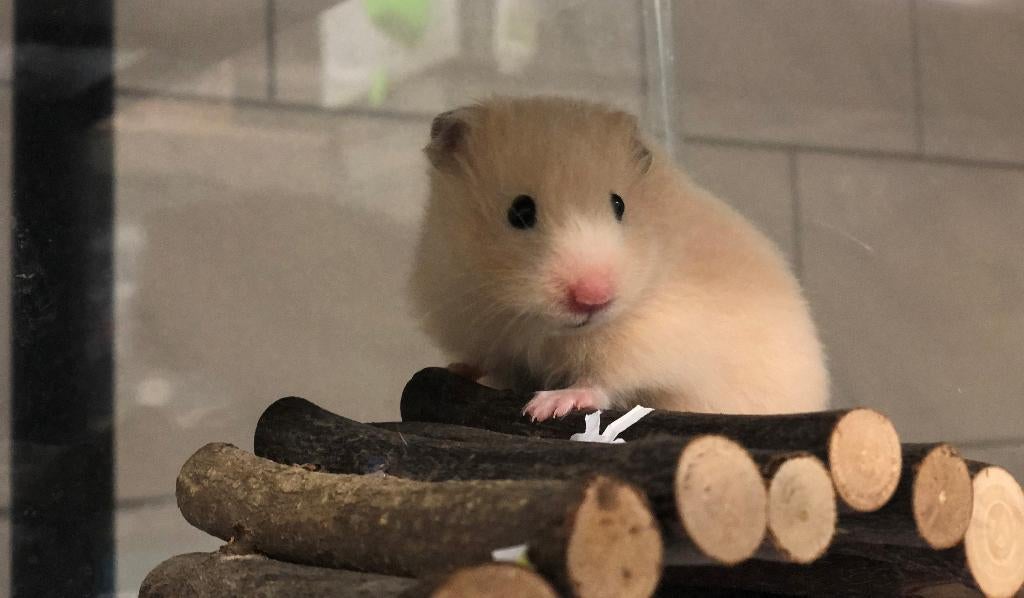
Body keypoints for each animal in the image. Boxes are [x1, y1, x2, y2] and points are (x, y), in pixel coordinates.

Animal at [409, 96, 829, 421]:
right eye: (520, 212)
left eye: (619, 204)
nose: (593, 298)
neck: (542, 328)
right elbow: (489, 363)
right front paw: (458, 368)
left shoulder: (649, 339)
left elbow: (603, 379)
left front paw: (547, 406)